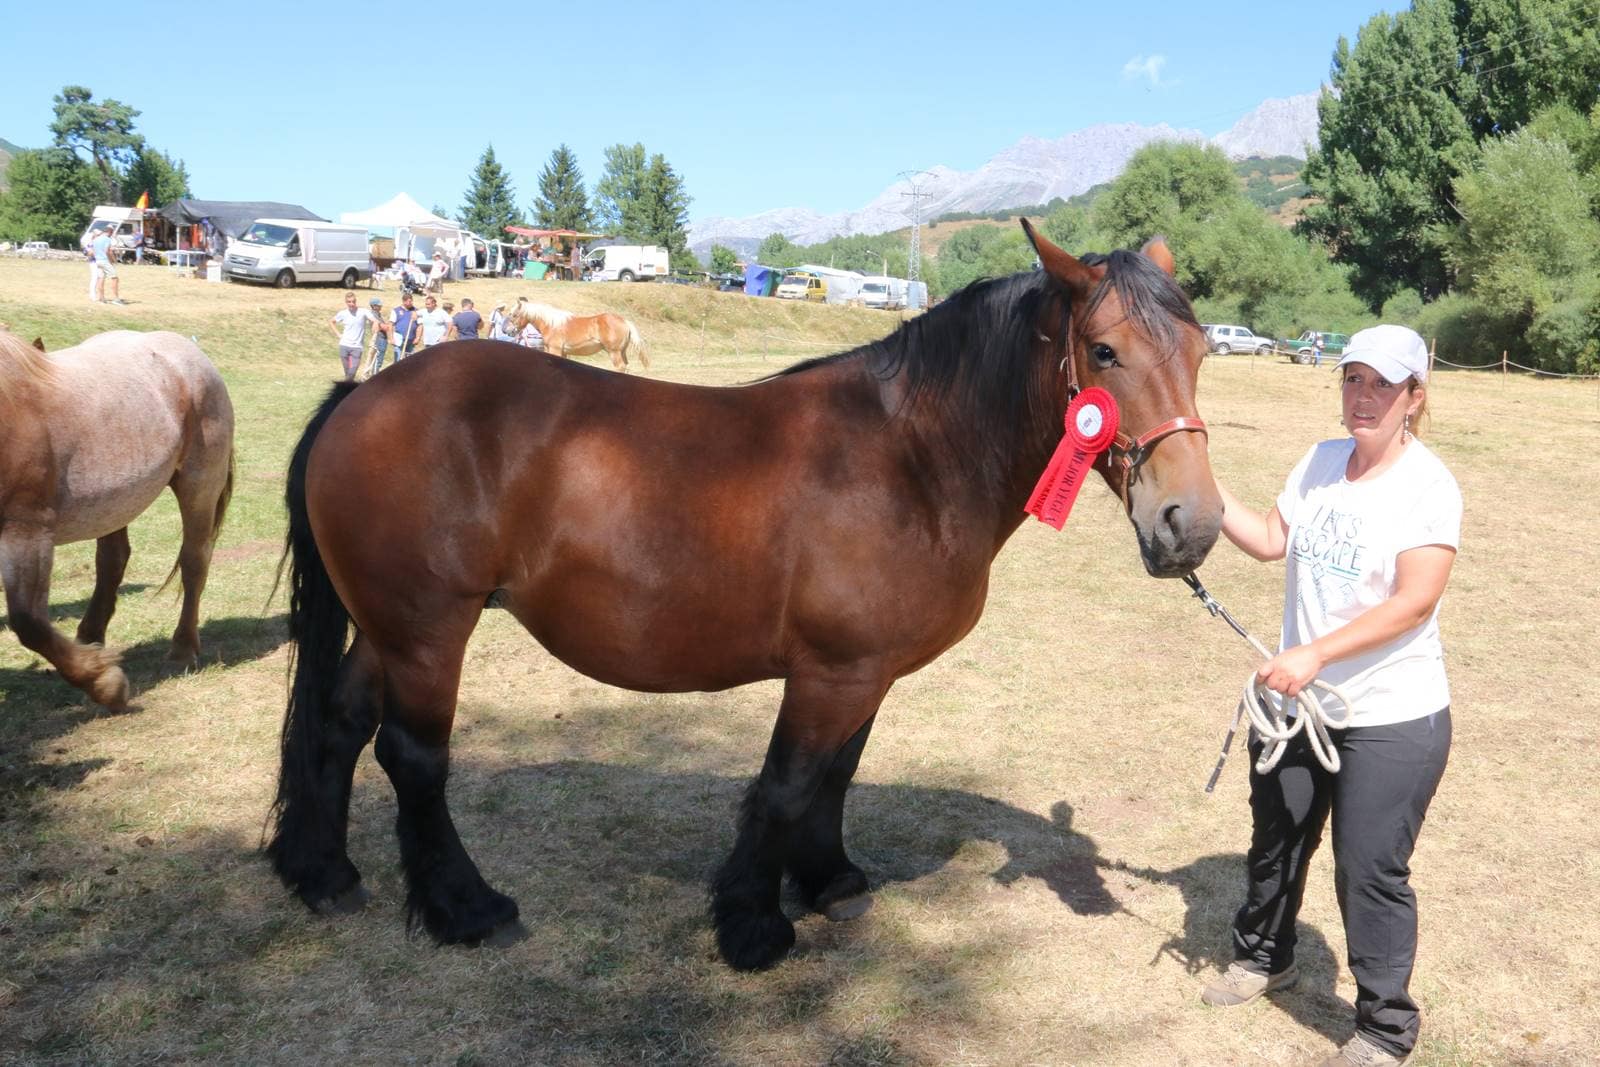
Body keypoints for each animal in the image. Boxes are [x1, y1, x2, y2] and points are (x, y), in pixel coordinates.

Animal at [0, 326, 235, 710]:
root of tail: (187, 350)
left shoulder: (26, 530)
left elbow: (28, 622)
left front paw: (103, 683)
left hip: (199, 486)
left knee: (194, 561)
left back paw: (183, 648)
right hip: (114, 504)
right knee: (112, 561)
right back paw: (90, 639)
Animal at [502, 299, 646, 374]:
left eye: (514, 315)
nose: (506, 331)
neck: (552, 324)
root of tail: (625, 321)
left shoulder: (555, 350)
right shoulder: (560, 351)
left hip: (614, 352)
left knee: (620, 368)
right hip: (622, 352)